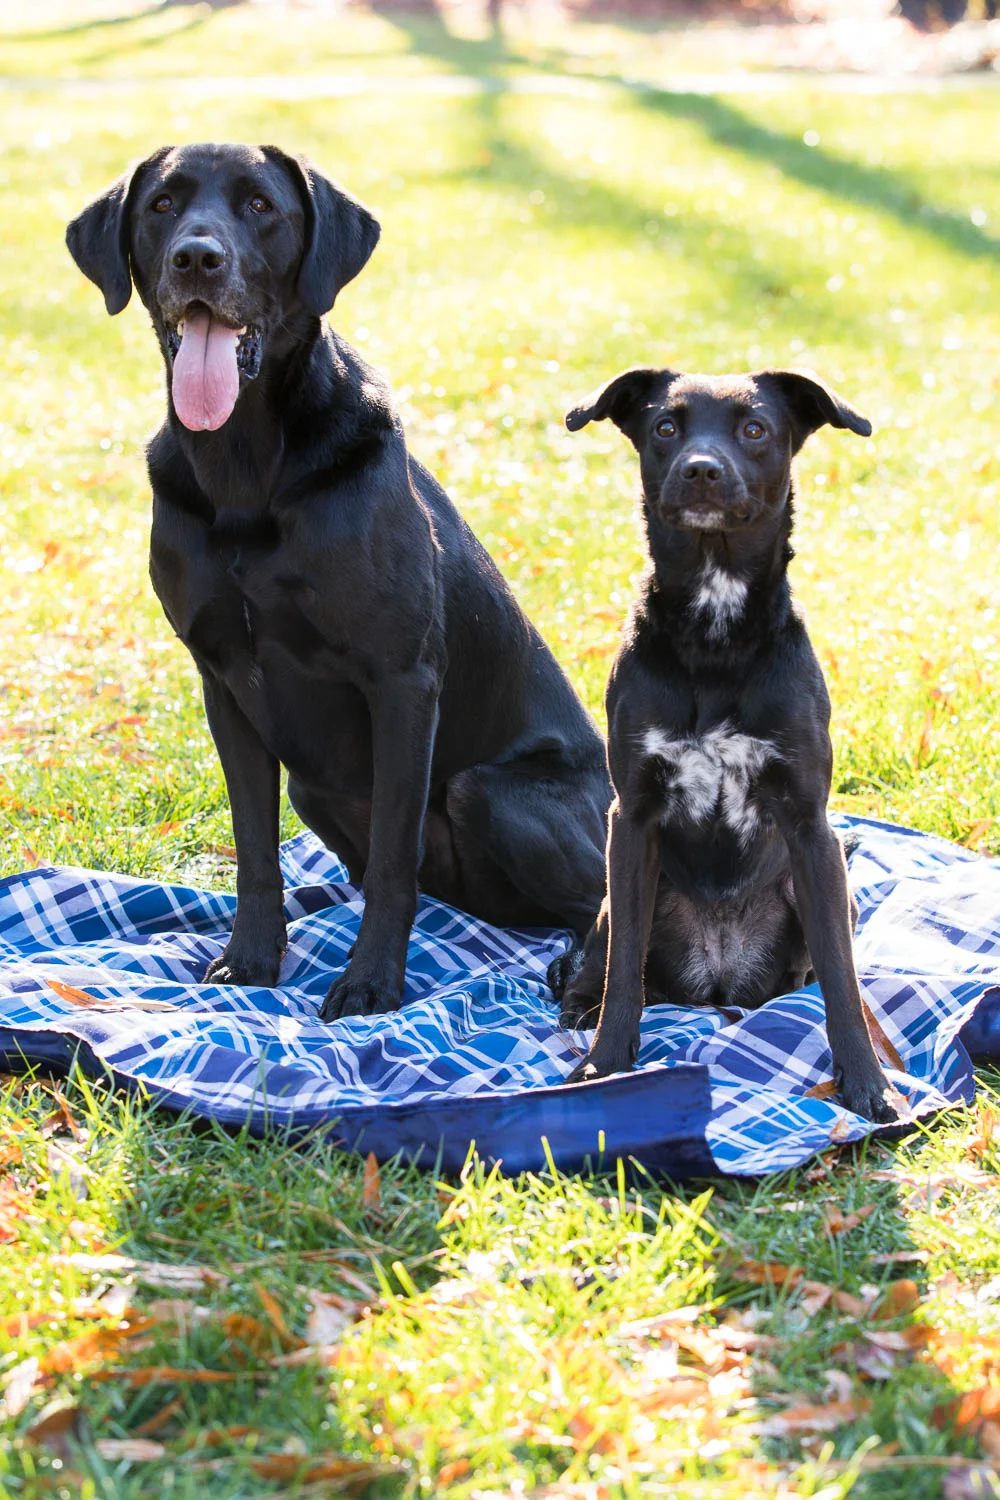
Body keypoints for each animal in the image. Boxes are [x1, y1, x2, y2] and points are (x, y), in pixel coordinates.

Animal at [66, 143, 611, 1020]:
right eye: (162, 205)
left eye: (260, 205)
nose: (196, 258)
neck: (245, 467)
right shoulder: (223, 684)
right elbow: (256, 850)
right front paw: (252, 960)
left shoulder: (401, 681)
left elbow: (392, 861)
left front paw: (370, 984)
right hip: (315, 791)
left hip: (493, 793)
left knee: (605, 893)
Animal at [549, 364, 899, 1123]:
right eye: (665, 427)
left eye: (755, 429)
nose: (702, 470)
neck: (715, 631)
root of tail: (717, 986)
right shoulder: (632, 817)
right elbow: (624, 972)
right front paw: (606, 1065)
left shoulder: (811, 827)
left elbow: (840, 975)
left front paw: (866, 1082)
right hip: (621, 890)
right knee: (603, 957)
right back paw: (575, 1003)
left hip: (821, 886)